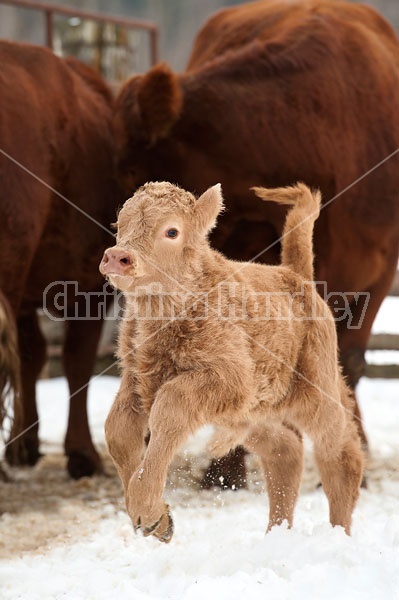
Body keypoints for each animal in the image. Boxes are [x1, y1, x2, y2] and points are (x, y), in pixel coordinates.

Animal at [101, 180, 366, 540]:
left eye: (172, 231)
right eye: (119, 225)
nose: (118, 257)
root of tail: (294, 273)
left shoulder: (226, 379)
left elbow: (169, 409)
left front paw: (146, 511)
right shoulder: (136, 381)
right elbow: (117, 431)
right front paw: (158, 521)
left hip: (316, 395)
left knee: (340, 452)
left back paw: (339, 533)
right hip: (253, 414)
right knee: (285, 451)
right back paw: (276, 534)